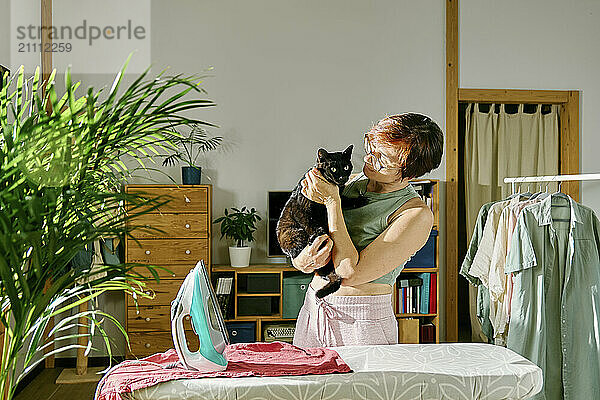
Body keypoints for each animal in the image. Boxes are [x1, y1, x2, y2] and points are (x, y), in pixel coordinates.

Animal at [278, 145, 354, 298]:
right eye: (334, 169)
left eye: (346, 166)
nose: (342, 177)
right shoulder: (301, 208)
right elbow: (309, 222)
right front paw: (318, 232)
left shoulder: (339, 198)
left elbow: (345, 201)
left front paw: (360, 200)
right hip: (293, 233)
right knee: (298, 249)